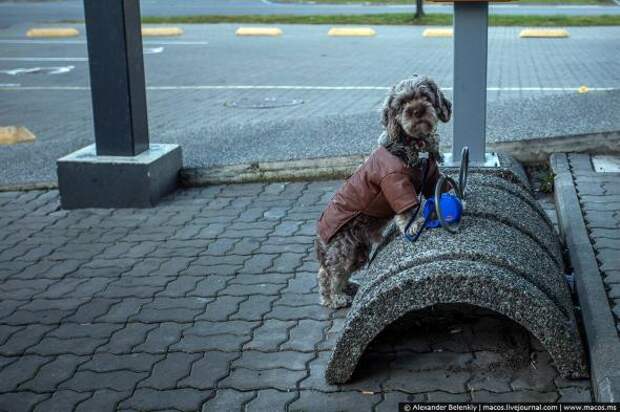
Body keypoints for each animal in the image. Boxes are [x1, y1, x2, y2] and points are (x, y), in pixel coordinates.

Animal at [314, 76, 450, 308]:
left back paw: (348, 288)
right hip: (343, 248)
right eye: (402, 104)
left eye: (425, 96)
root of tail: (319, 236)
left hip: (359, 250)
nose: (417, 110)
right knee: (328, 273)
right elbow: (406, 208)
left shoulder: (431, 175)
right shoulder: (394, 184)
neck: (413, 143)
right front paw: (414, 224)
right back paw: (334, 298)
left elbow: (437, 189)